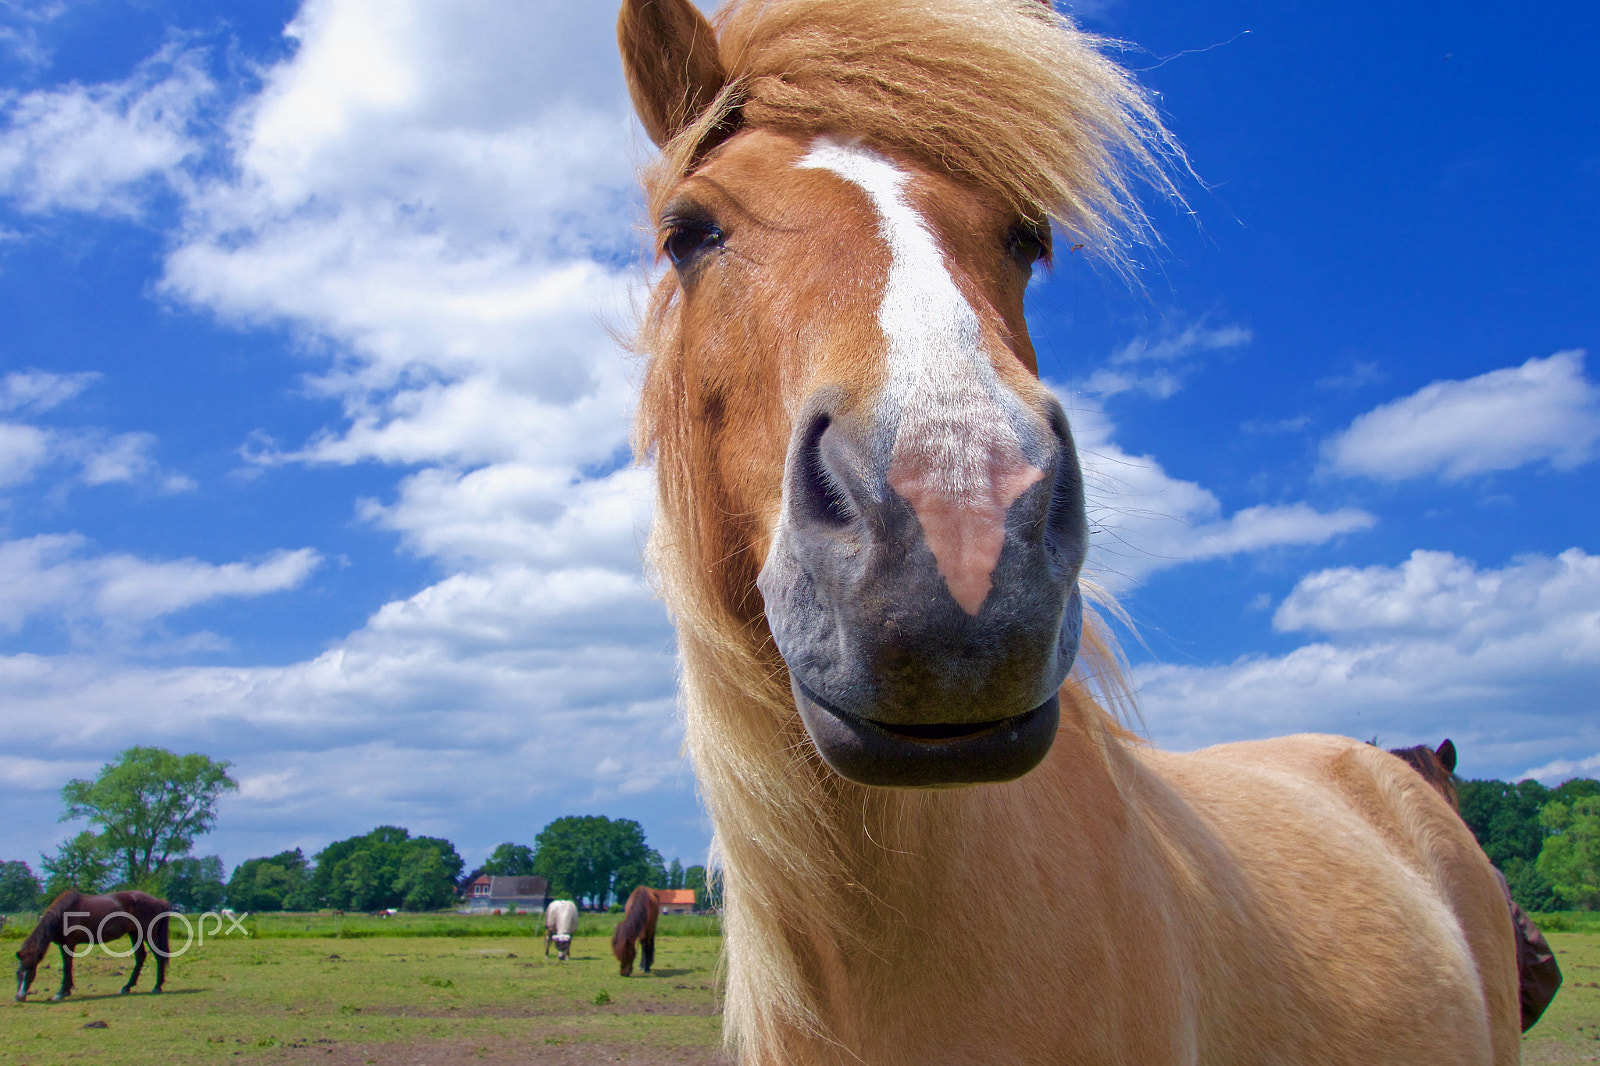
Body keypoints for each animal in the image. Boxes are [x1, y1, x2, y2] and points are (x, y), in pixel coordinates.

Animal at [14, 883, 172, 998]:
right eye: (18, 972)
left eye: (30, 971)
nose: (20, 997)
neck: (62, 914)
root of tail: (158, 901)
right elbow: (68, 965)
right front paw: (67, 990)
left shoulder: (68, 944)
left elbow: (67, 966)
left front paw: (62, 992)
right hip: (135, 934)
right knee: (140, 957)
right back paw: (126, 987)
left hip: (149, 935)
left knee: (159, 957)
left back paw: (157, 987)